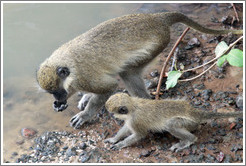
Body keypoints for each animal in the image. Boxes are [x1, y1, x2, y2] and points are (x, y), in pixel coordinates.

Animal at [36, 12, 242, 129]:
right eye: (52, 92)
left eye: (57, 90)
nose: (58, 98)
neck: (67, 64)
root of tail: (156, 18)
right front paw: (67, 102)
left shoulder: (82, 77)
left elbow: (109, 87)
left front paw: (85, 115)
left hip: (156, 44)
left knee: (127, 73)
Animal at [104, 93, 243, 152]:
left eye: (112, 112)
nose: (111, 115)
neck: (133, 106)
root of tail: (194, 112)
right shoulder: (130, 120)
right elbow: (126, 128)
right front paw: (114, 139)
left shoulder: (135, 120)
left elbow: (139, 135)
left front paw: (120, 144)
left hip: (189, 122)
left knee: (171, 125)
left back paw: (188, 140)